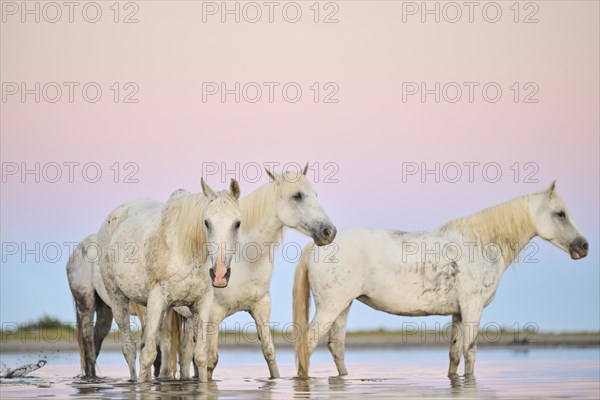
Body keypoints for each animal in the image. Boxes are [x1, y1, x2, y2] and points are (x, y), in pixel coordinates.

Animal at [97, 179, 240, 382]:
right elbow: (148, 355)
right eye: (206, 222)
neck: (186, 250)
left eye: (237, 223)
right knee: (130, 349)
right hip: (118, 299)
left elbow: (200, 357)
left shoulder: (202, 304)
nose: (220, 274)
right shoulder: (157, 299)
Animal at [172, 167, 338, 380]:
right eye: (298, 195)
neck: (245, 258)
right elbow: (211, 361)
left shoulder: (261, 306)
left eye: (315, 195)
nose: (329, 232)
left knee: (185, 353)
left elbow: (269, 352)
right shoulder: (214, 314)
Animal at [292, 181, 588, 378]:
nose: (584, 246)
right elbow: (470, 351)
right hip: (331, 306)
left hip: (343, 306)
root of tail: (316, 244)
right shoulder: (472, 308)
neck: (482, 243)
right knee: (308, 344)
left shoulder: (458, 313)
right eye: (560, 213)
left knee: (336, 346)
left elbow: (455, 354)